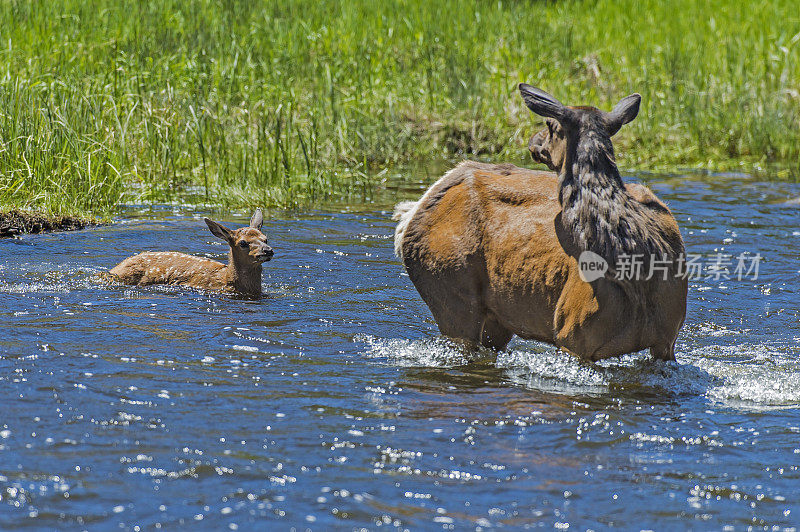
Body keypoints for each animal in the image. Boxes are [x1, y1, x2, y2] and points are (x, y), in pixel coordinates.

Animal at [394, 86, 688, 362]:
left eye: (549, 125)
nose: (533, 140)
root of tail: (410, 215)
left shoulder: (666, 341)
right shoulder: (573, 335)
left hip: (490, 315)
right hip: (451, 295)